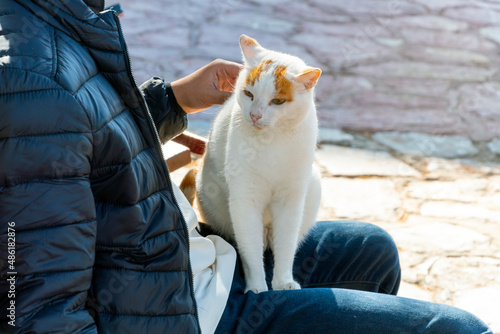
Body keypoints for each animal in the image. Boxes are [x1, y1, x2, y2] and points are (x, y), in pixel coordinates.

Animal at [182, 34, 322, 294]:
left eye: (277, 101)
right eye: (248, 94)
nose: (255, 115)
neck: (272, 141)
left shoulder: (291, 199)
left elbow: (286, 245)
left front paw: (283, 282)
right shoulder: (244, 199)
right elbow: (250, 249)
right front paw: (257, 287)